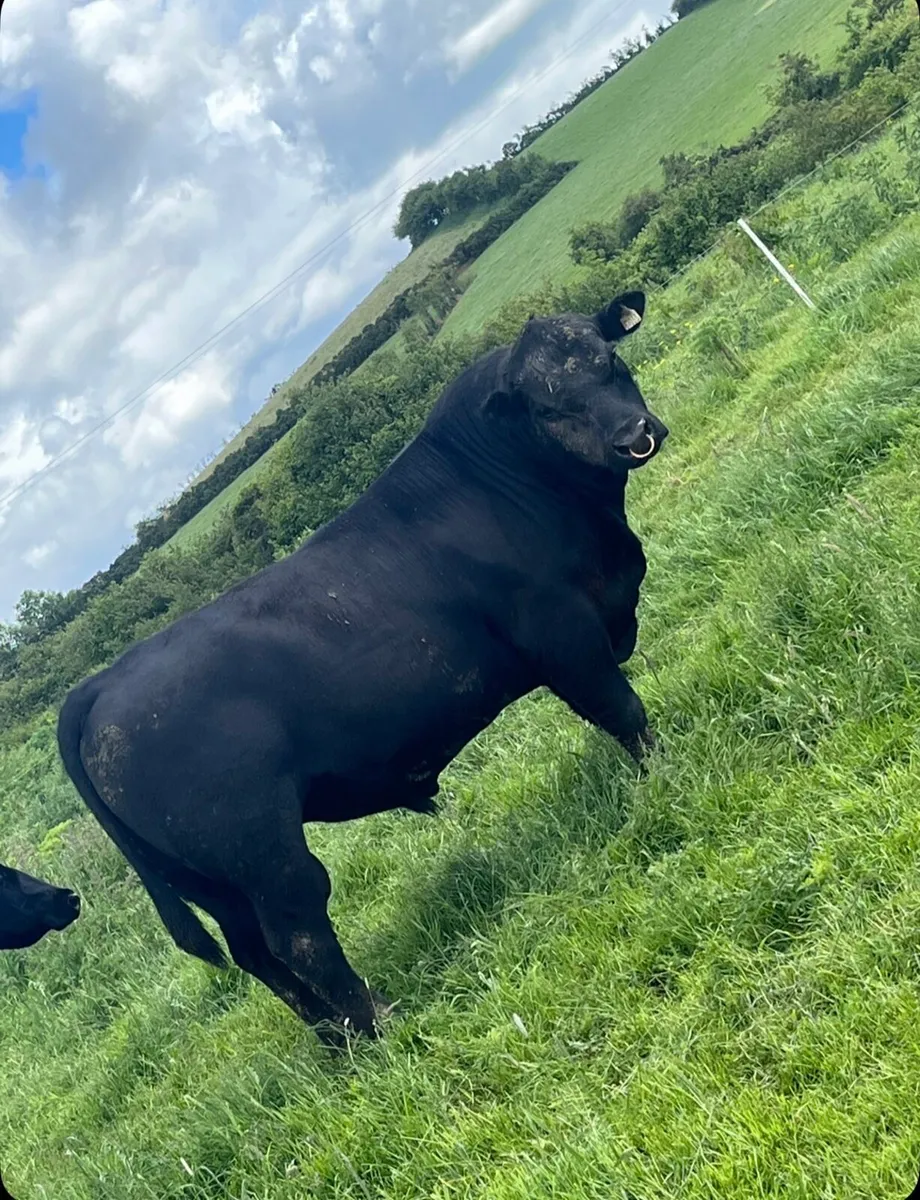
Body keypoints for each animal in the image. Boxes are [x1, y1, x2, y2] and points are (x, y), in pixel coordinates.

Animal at [56, 290, 668, 1039]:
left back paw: (334, 1040)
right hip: (262, 851)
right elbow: (621, 710)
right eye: (549, 407)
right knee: (297, 932)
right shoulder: (563, 634)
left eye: (609, 359)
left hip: (210, 878)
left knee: (255, 953)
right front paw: (663, 775)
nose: (634, 434)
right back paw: (378, 1023)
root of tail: (101, 683)